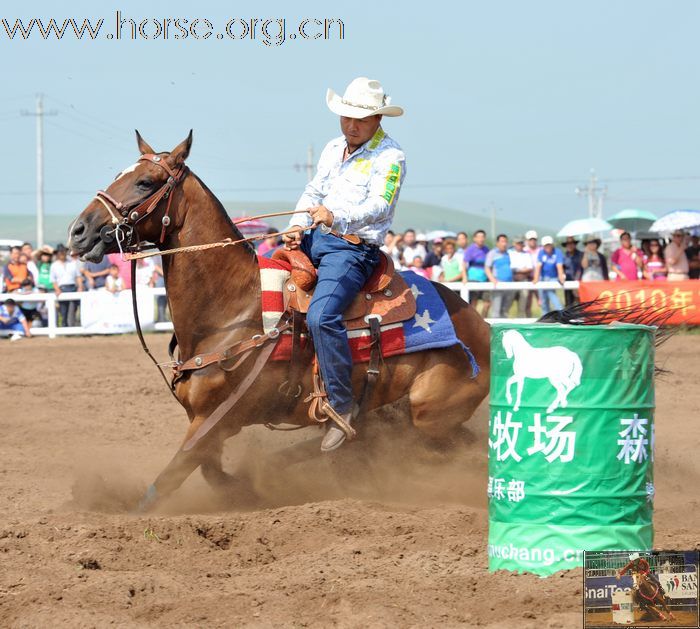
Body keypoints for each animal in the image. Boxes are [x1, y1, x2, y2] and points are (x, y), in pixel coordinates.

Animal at [67, 132, 492, 510]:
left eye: (145, 182)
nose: (78, 230)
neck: (233, 308)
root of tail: (483, 327)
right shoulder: (205, 424)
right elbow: (209, 471)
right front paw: (247, 489)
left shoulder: (216, 421)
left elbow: (171, 477)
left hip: (430, 413)